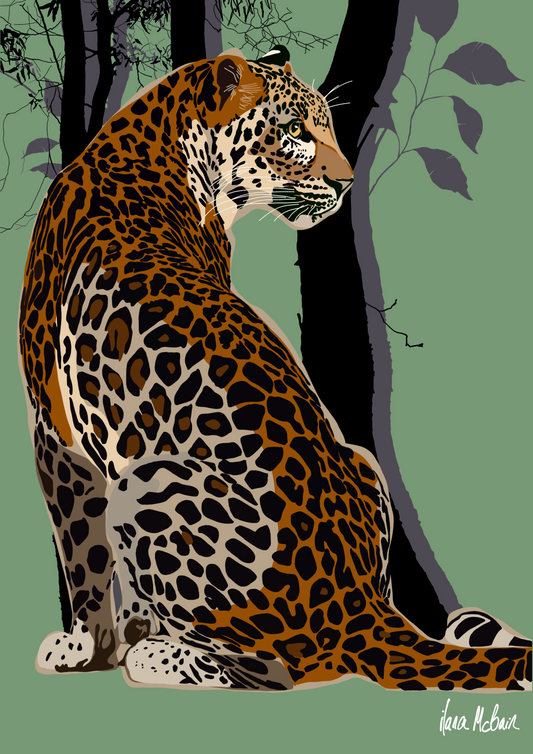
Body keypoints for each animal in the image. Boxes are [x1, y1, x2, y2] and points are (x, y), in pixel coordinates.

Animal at [19, 46, 531, 692]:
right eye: (293, 131)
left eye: (328, 124)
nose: (347, 180)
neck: (155, 140)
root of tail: (359, 606)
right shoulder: (60, 434)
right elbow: (90, 557)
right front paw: (114, 636)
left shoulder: (55, 433)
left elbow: (82, 553)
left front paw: (88, 646)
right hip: (363, 461)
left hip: (144, 482)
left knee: (281, 670)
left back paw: (157, 658)